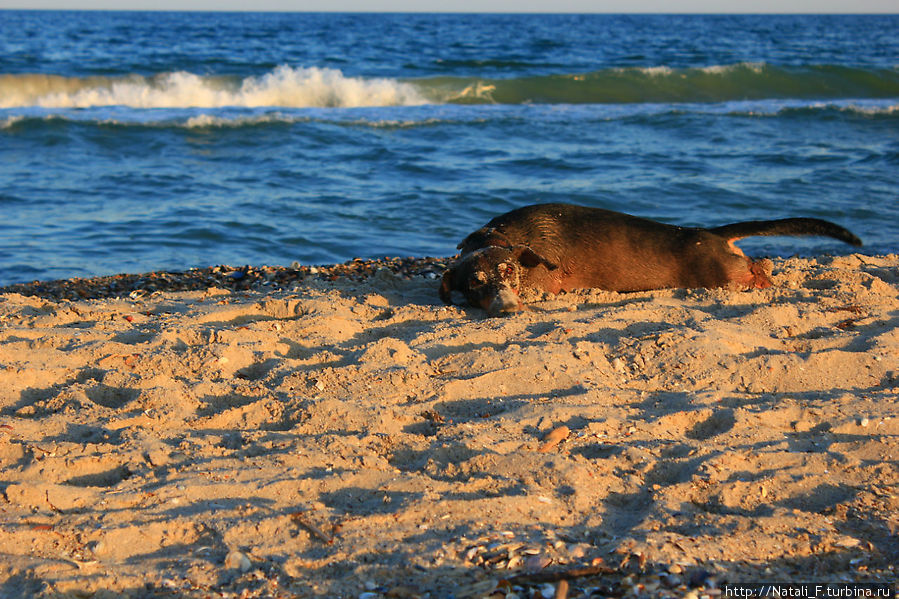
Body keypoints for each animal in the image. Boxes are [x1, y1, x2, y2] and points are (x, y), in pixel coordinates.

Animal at [442, 203, 864, 316]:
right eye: (474, 282)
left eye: (509, 270)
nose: (508, 309)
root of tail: (711, 233)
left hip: (723, 275)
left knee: (757, 272)